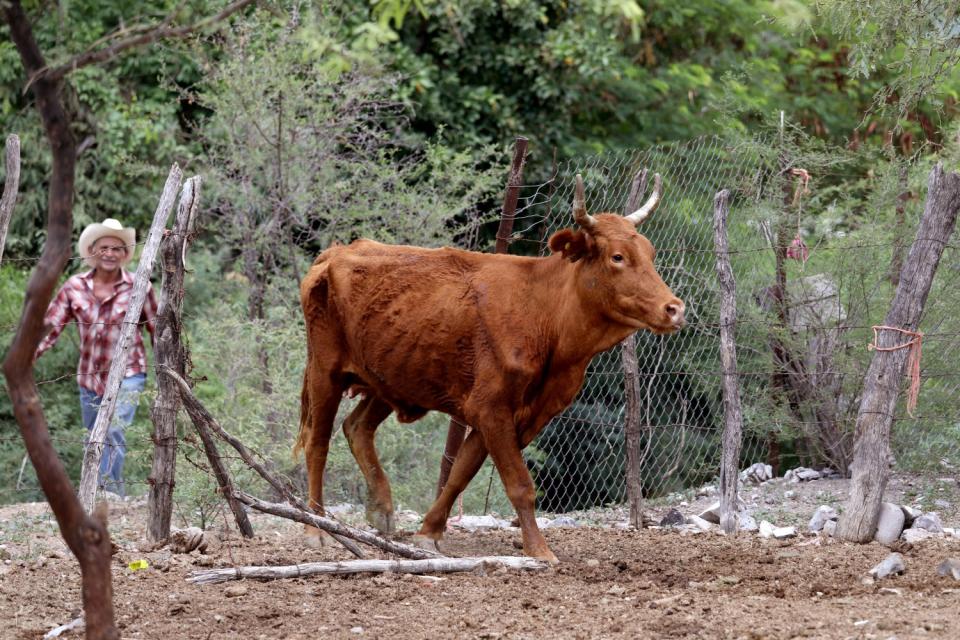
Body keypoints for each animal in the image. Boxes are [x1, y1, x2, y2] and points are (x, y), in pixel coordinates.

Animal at [298, 172, 684, 564]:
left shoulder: (516, 413)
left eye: (650, 253)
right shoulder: (491, 407)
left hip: (392, 374)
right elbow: (519, 484)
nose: (674, 308)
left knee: (357, 427)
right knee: (318, 444)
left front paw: (428, 532)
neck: (543, 312)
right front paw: (539, 549)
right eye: (617, 257)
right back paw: (317, 528)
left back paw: (381, 508)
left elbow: (461, 472)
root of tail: (336, 252)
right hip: (325, 370)